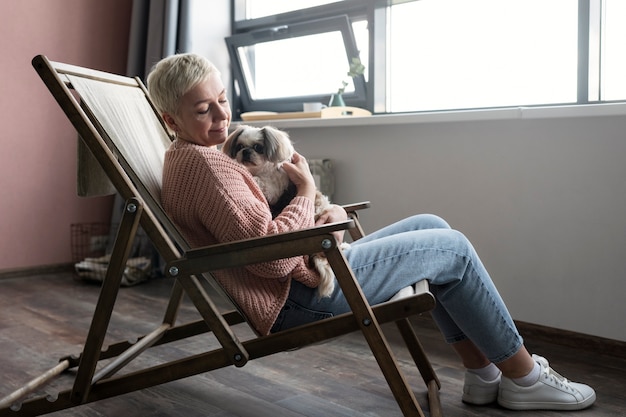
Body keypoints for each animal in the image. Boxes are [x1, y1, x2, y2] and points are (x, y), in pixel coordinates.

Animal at [222, 125, 344, 298]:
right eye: (239, 146)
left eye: (258, 147)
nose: (245, 151)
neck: (260, 169)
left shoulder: (271, 188)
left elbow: (258, 181)